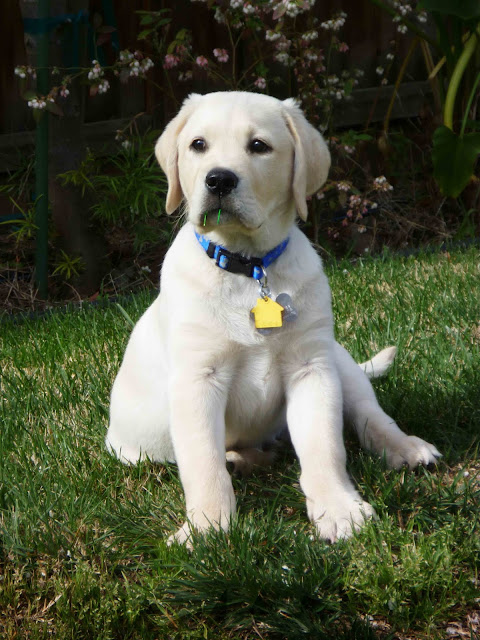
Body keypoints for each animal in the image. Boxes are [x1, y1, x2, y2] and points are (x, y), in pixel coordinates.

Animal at [107, 92, 440, 544]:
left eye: (259, 146)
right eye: (198, 145)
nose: (219, 180)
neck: (249, 268)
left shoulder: (311, 369)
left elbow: (325, 447)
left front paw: (338, 508)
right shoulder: (197, 379)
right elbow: (203, 463)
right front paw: (207, 528)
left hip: (338, 361)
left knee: (370, 417)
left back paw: (406, 448)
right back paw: (241, 460)